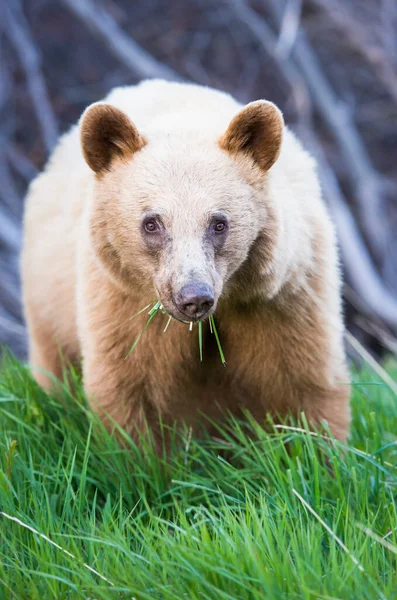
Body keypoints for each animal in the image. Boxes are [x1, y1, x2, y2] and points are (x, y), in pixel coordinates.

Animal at [21, 78, 350, 446]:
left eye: (219, 223)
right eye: (152, 223)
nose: (194, 297)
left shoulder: (280, 299)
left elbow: (302, 382)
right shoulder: (124, 304)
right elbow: (132, 386)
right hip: (48, 300)